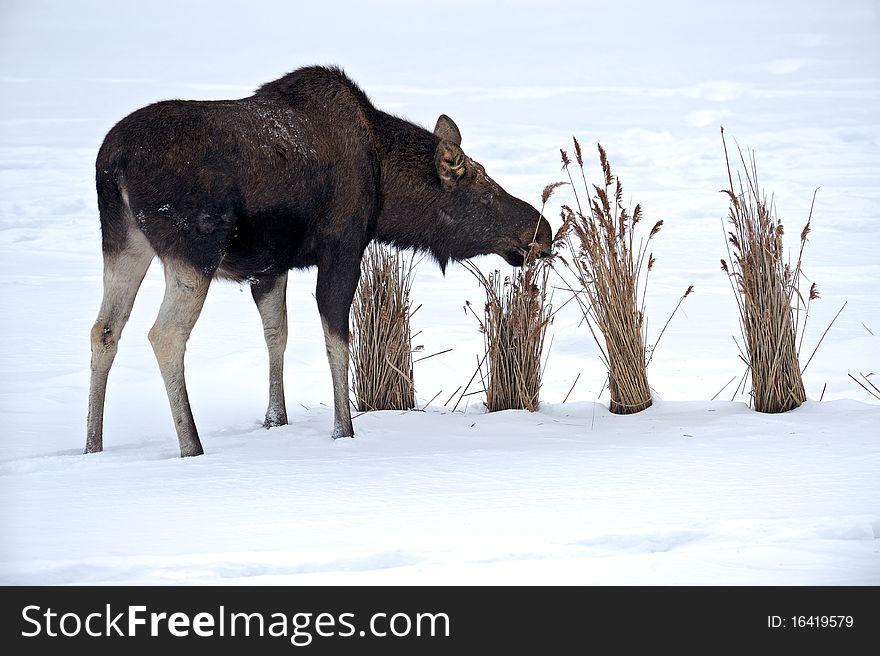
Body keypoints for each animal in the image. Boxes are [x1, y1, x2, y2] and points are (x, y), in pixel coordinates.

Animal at [82, 65, 552, 456]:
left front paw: (276, 419)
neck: (386, 190)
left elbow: (277, 334)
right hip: (194, 249)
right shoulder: (342, 246)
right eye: (485, 192)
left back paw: (93, 445)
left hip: (123, 242)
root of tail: (113, 162)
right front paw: (344, 430)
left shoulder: (271, 266)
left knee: (104, 329)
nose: (542, 232)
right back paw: (191, 445)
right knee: (165, 334)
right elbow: (337, 339)